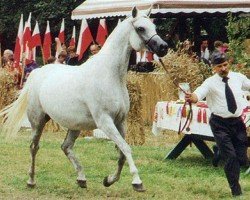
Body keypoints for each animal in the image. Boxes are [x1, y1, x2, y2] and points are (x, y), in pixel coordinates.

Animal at [0, 7, 168, 192]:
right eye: (141, 28)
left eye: (153, 26)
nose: (163, 47)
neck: (110, 76)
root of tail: (37, 73)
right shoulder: (105, 122)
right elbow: (126, 148)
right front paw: (137, 182)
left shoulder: (120, 121)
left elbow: (121, 153)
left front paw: (109, 180)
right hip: (38, 120)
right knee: (34, 147)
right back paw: (31, 180)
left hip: (74, 125)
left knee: (65, 147)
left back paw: (81, 178)